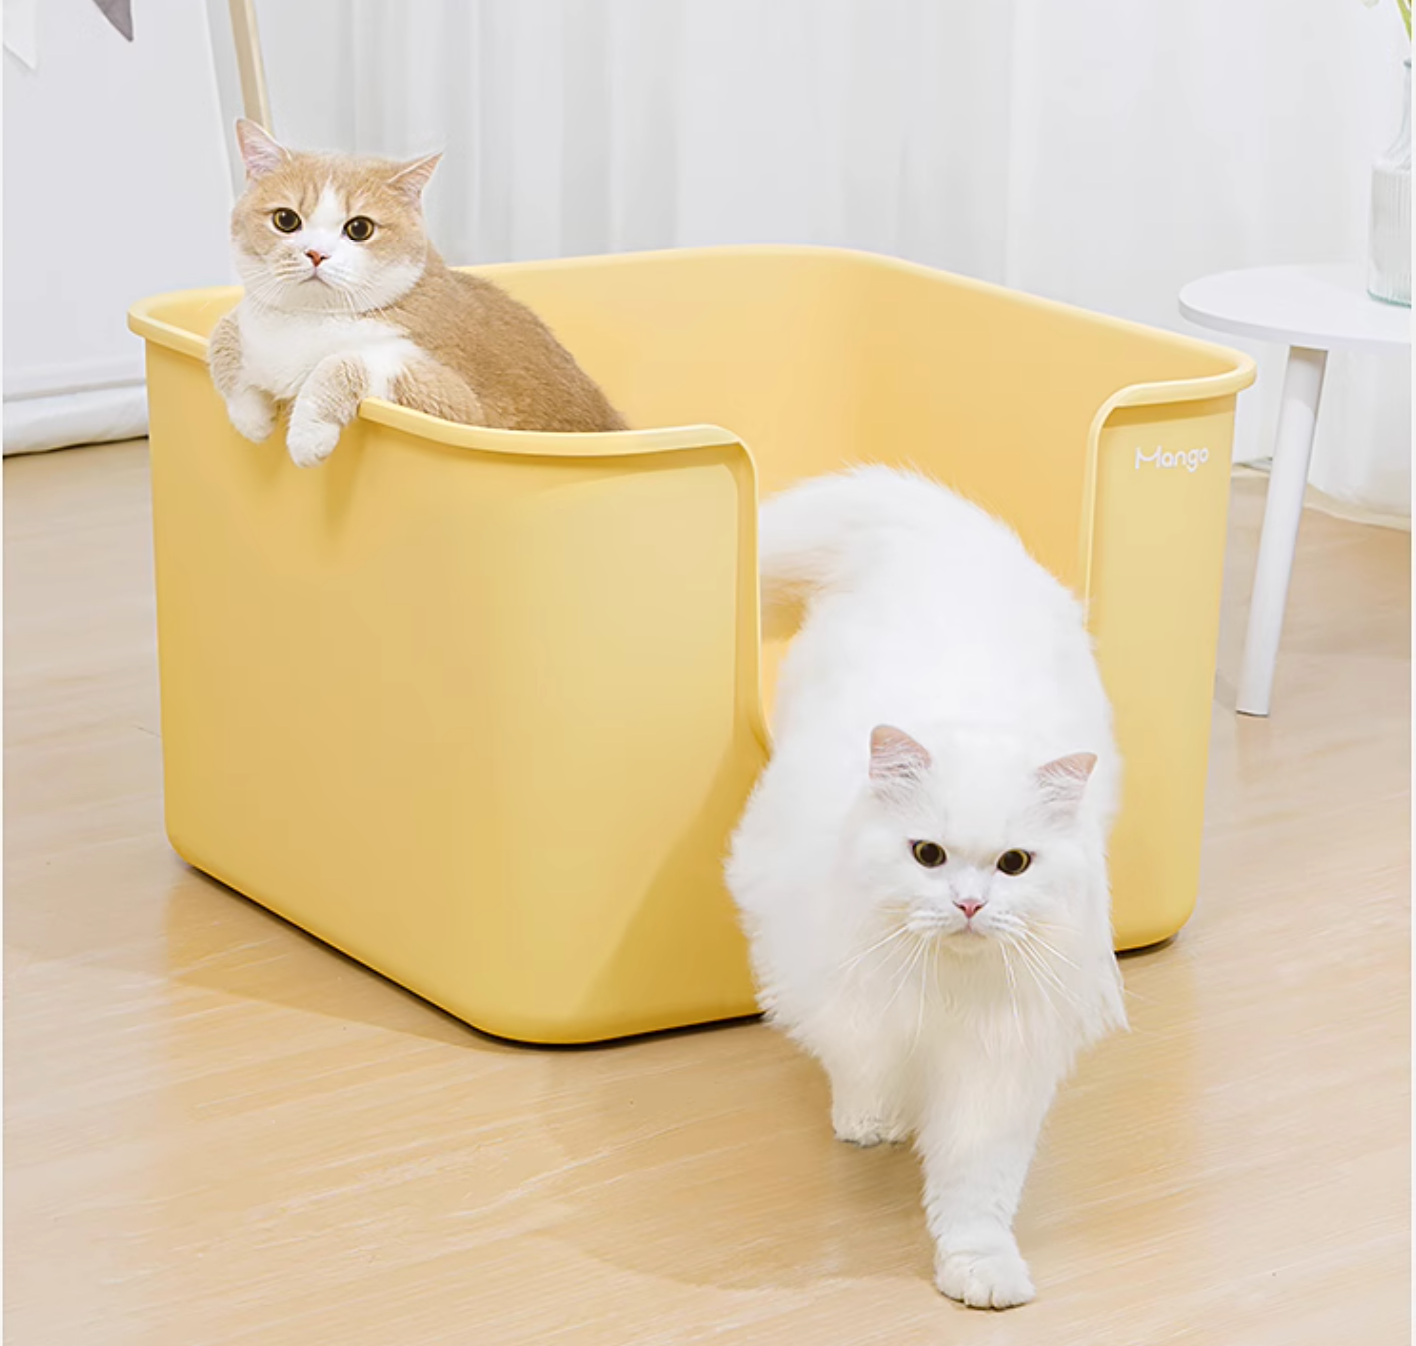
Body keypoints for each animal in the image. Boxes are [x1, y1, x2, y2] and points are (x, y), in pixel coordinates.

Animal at [209, 120, 625, 469]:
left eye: (359, 228)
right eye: (286, 220)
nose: (316, 254)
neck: (305, 320)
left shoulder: (464, 409)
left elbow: (344, 361)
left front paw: (309, 434)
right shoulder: (247, 314)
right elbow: (222, 332)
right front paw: (250, 415)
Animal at [726, 466, 1126, 1310]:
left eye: (1014, 865)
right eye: (928, 855)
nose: (969, 905)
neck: (944, 989)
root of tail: (941, 525)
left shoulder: (999, 1067)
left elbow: (975, 1190)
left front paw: (981, 1274)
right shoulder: (847, 1003)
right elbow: (861, 1071)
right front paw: (868, 1125)